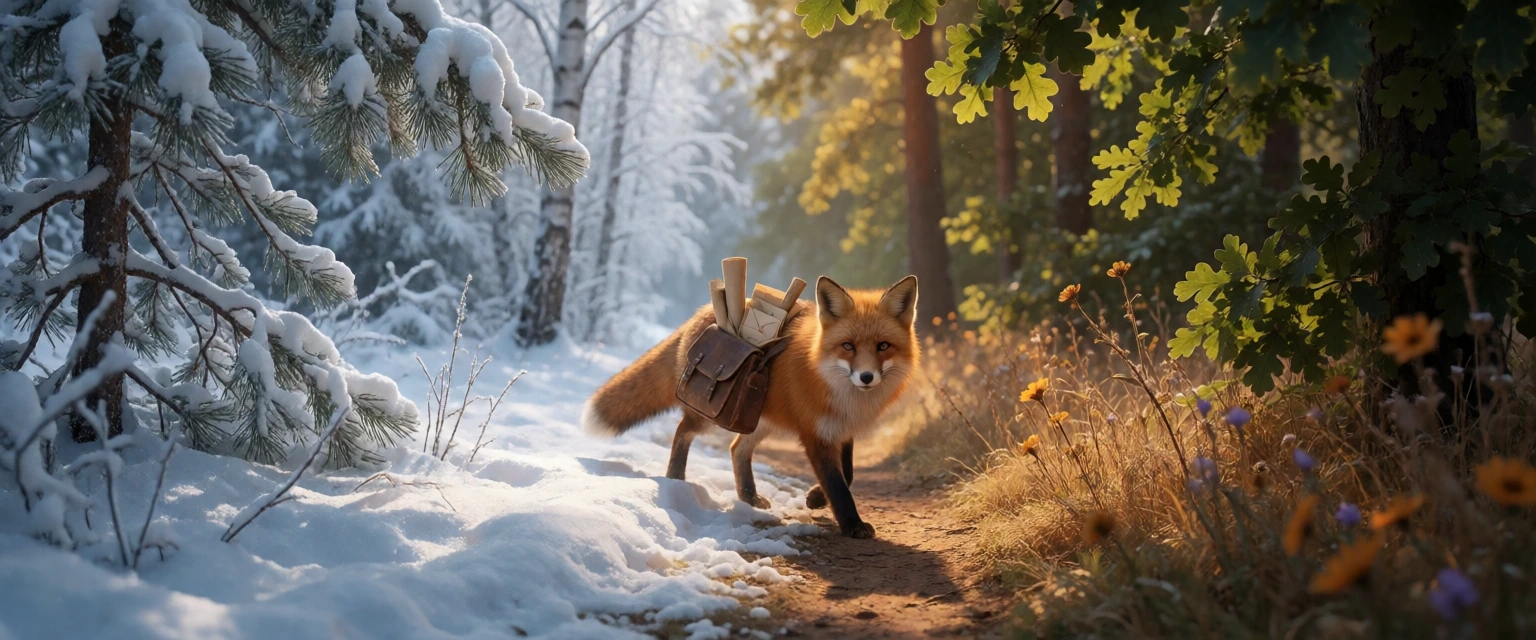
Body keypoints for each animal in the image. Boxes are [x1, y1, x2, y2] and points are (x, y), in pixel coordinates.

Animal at [581, 275, 920, 538]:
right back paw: (676, 478)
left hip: (756, 420)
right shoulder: (815, 433)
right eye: (848, 346)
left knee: (736, 449)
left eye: (883, 346)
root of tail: (700, 313)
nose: (866, 377)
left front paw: (815, 499)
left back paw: (749, 496)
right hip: (715, 416)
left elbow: (847, 473)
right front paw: (851, 524)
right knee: (683, 431)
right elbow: (837, 483)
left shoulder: (842, 428)